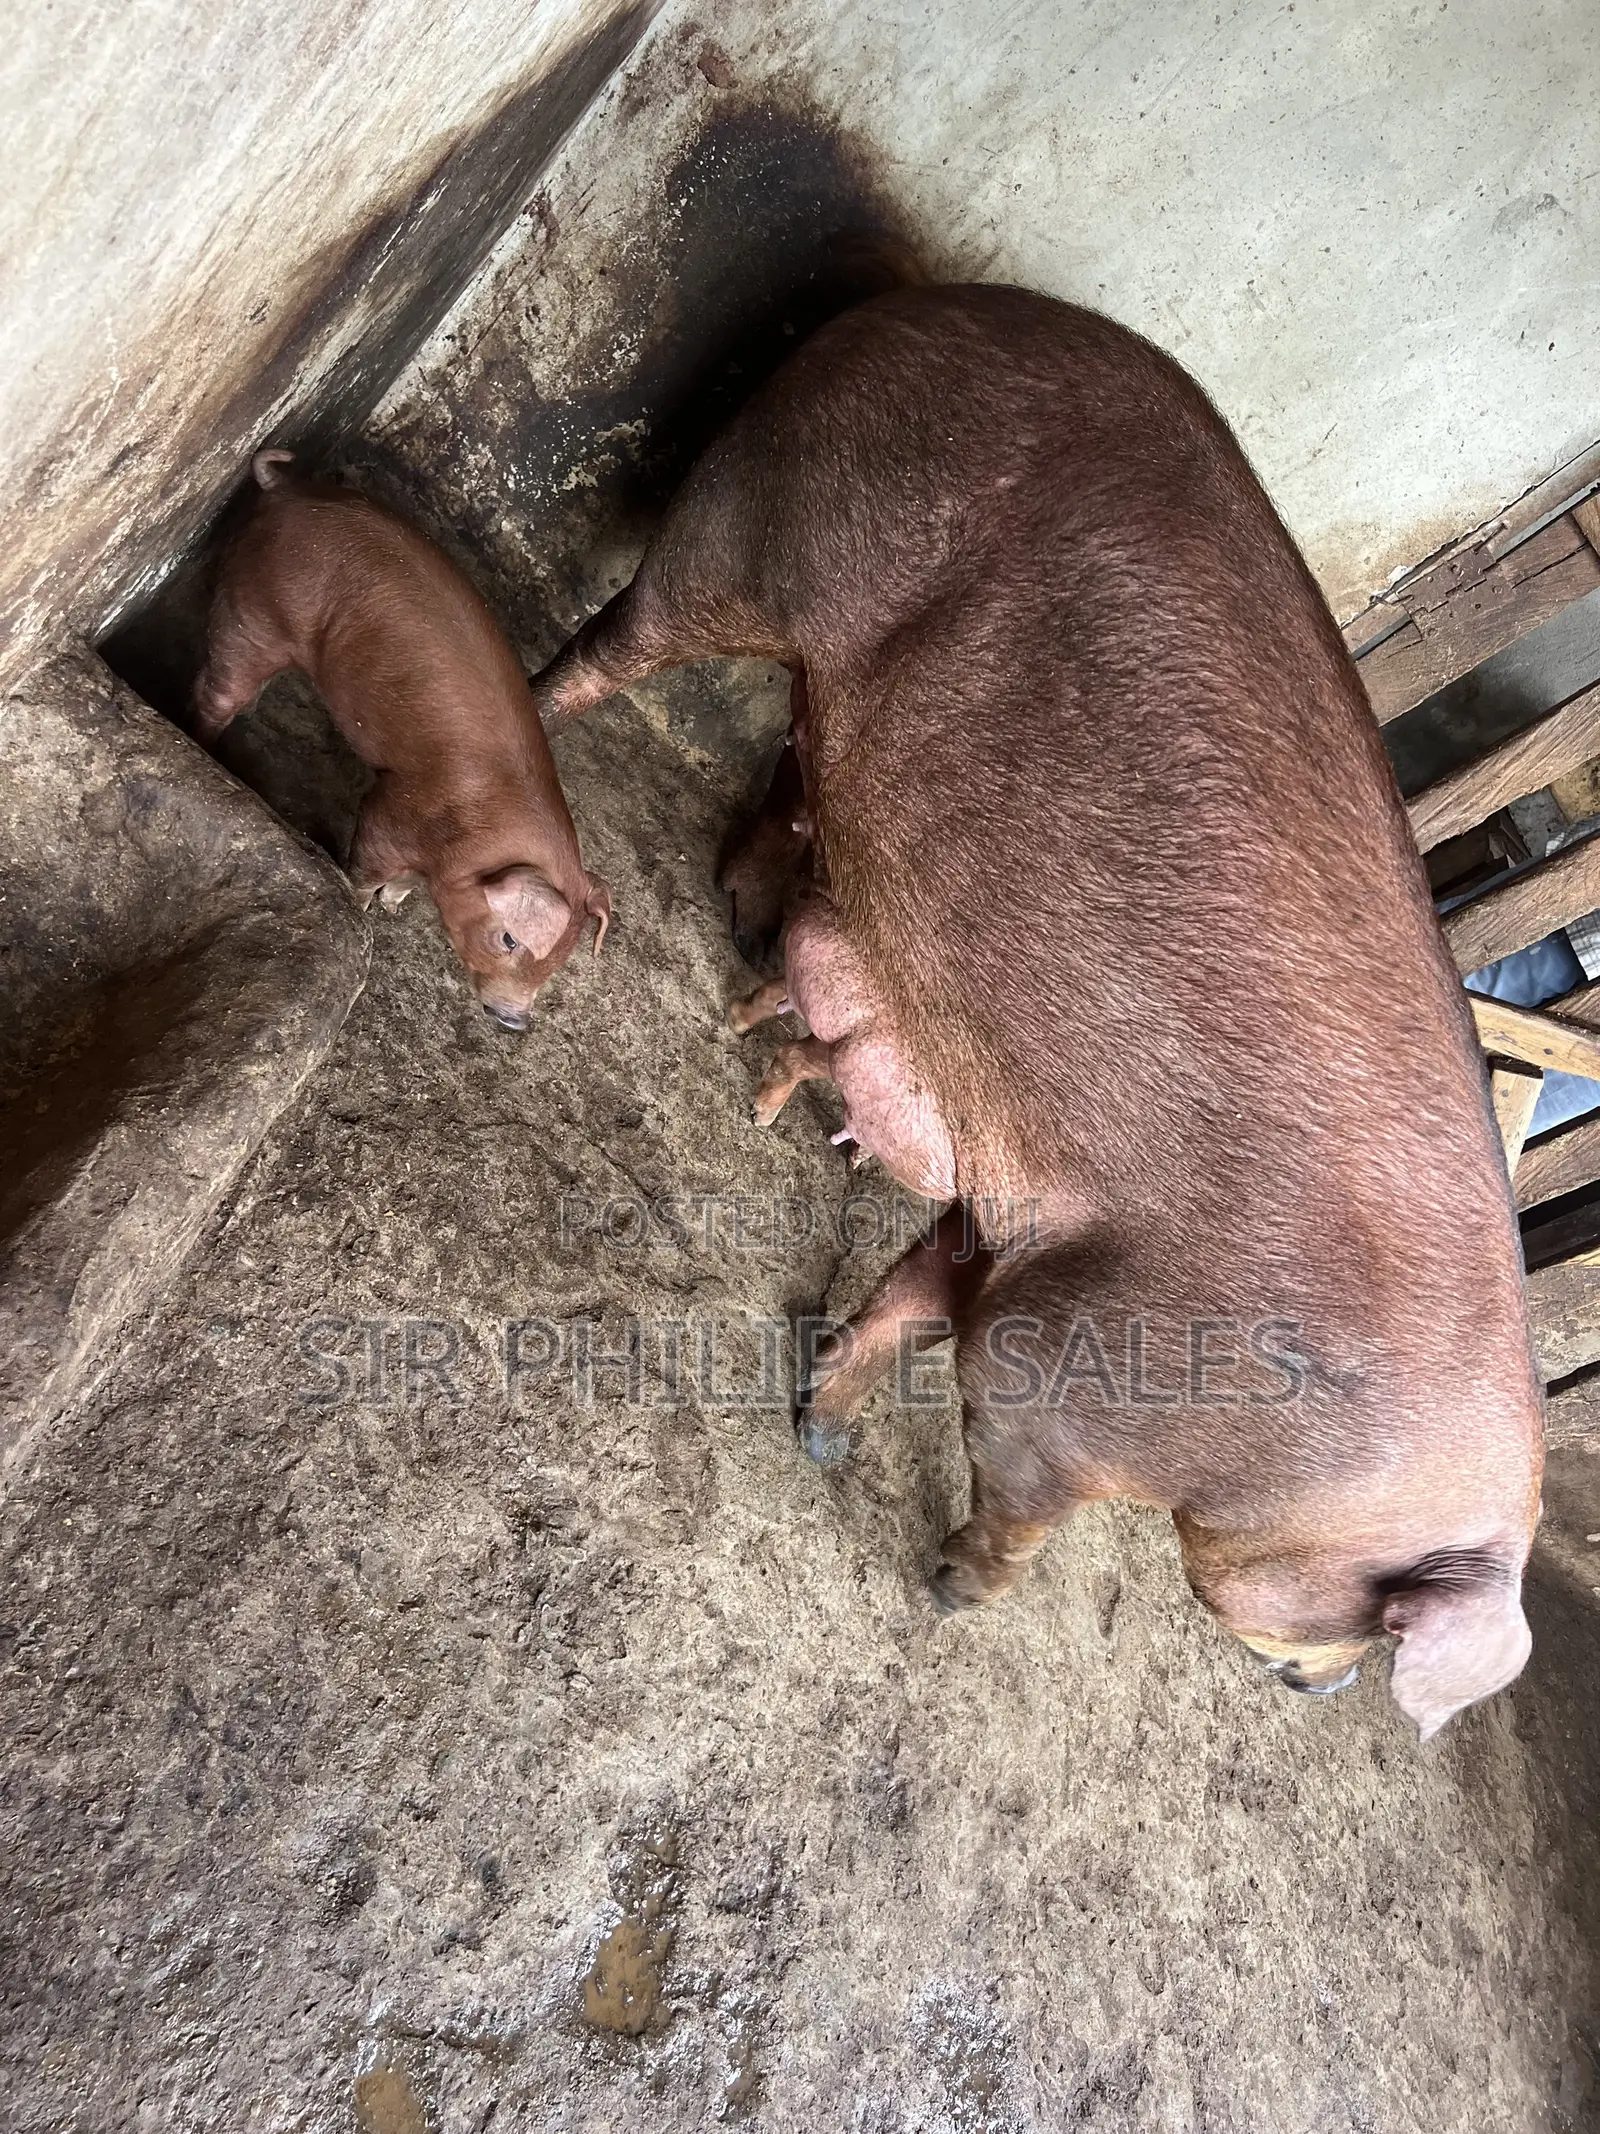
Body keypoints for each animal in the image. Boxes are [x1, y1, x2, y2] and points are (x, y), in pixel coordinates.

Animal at [194, 450, 609, 1029]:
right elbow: (366, 865)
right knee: (215, 688)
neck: (478, 837)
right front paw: (364, 908)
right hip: (254, 610)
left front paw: (394, 905)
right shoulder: (392, 811)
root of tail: (282, 487)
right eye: (509, 939)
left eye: (561, 958)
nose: (515, 1020)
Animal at [529, 283, 1543, 1742]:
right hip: (758, 530)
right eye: (1361, 1615)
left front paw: (816, 1428)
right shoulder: (1076, 1365)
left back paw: (741, 914)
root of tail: (914, 305)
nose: (1326, 1680)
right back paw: (529, 729)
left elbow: (905, 1297)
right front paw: (951, 1591)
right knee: (622, 636)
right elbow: (1010, 1459)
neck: (1312, 1470)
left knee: (783, 766)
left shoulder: (1015, 1223)